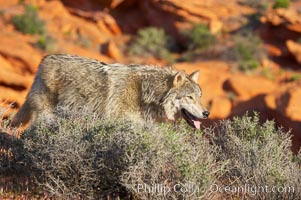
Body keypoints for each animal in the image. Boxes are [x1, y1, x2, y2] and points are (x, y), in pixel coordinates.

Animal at [11, 54, 209, 128]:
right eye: (189, 97)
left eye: (199, 97)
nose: (207, 113)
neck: (145, 93)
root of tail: (44, 60)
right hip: (46, 115)